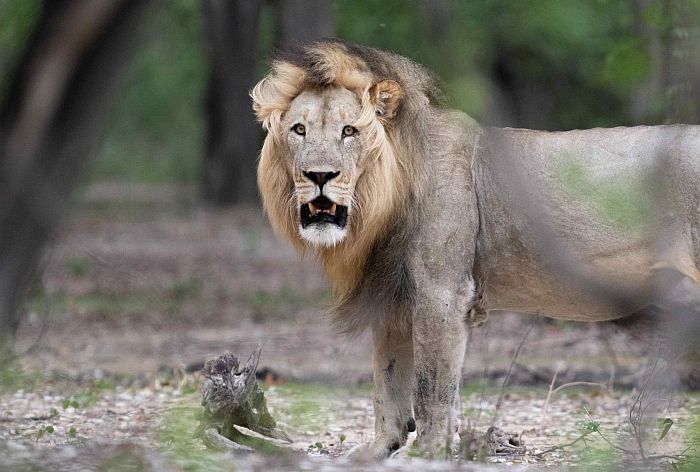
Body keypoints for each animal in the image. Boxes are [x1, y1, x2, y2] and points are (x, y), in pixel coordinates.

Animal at [251, 39, 700, 458]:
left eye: (350, 131)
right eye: (299, 130)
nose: (319, 175)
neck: (380, 201)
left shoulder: (442, 293)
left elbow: (431, 390)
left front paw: (429, 454)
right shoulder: (394, 296)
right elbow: (388, 385)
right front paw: (380, 449)